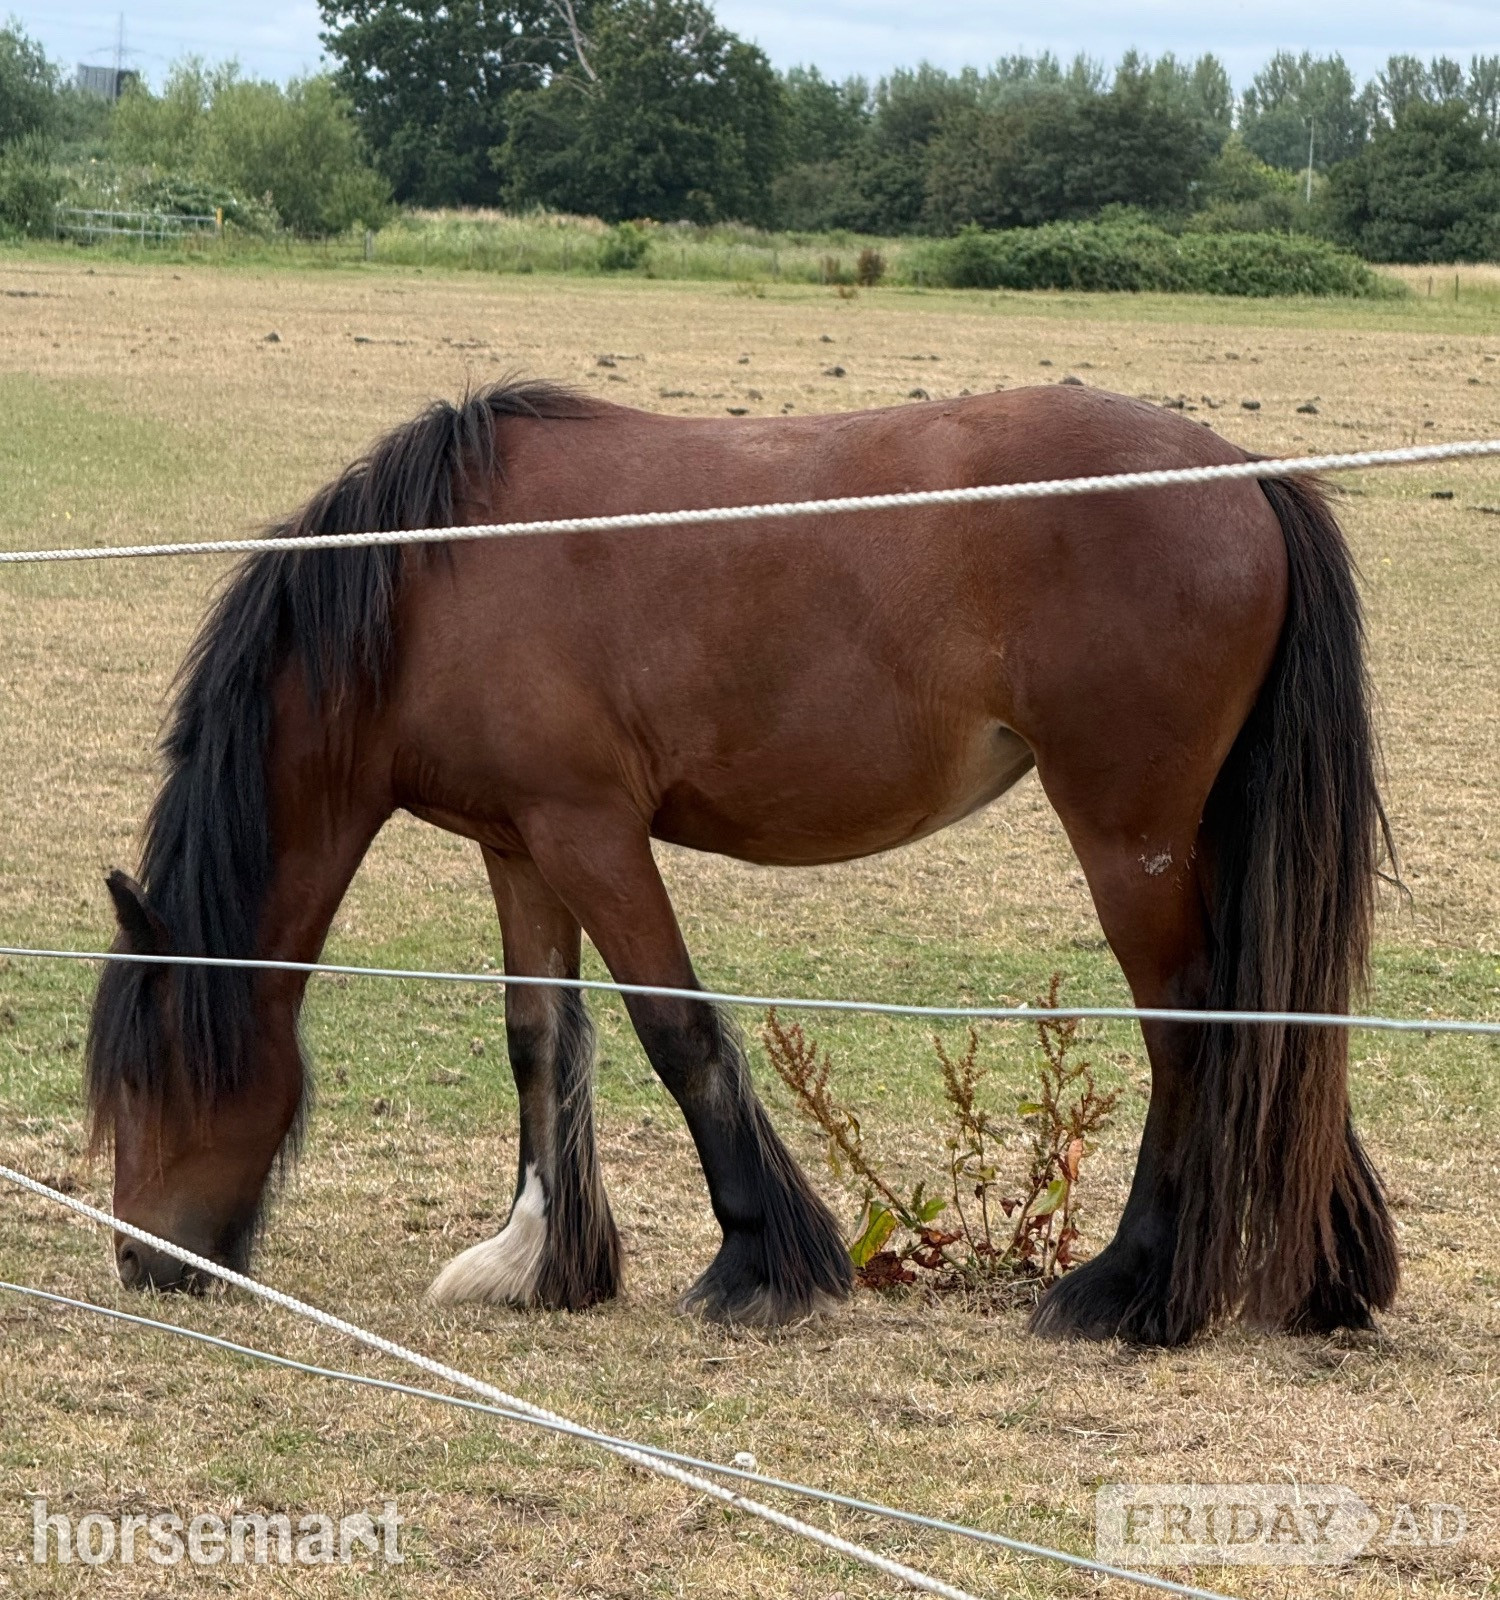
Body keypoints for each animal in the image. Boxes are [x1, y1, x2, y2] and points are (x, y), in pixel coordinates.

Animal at [84, 378, 1399, 1345]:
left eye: (149, 1081)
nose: (143, 1260)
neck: (429, 582)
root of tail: (1243, 477)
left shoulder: (590, 832)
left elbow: (676, 1029)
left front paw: (758, 1261)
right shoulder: (521, 842)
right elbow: (539, 1039)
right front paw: (542, 1264)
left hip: (1131, 840)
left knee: (1197, 1030)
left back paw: (1132, 1288)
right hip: (1206, 838)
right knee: (1275, 1027)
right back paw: (1325, 1274)